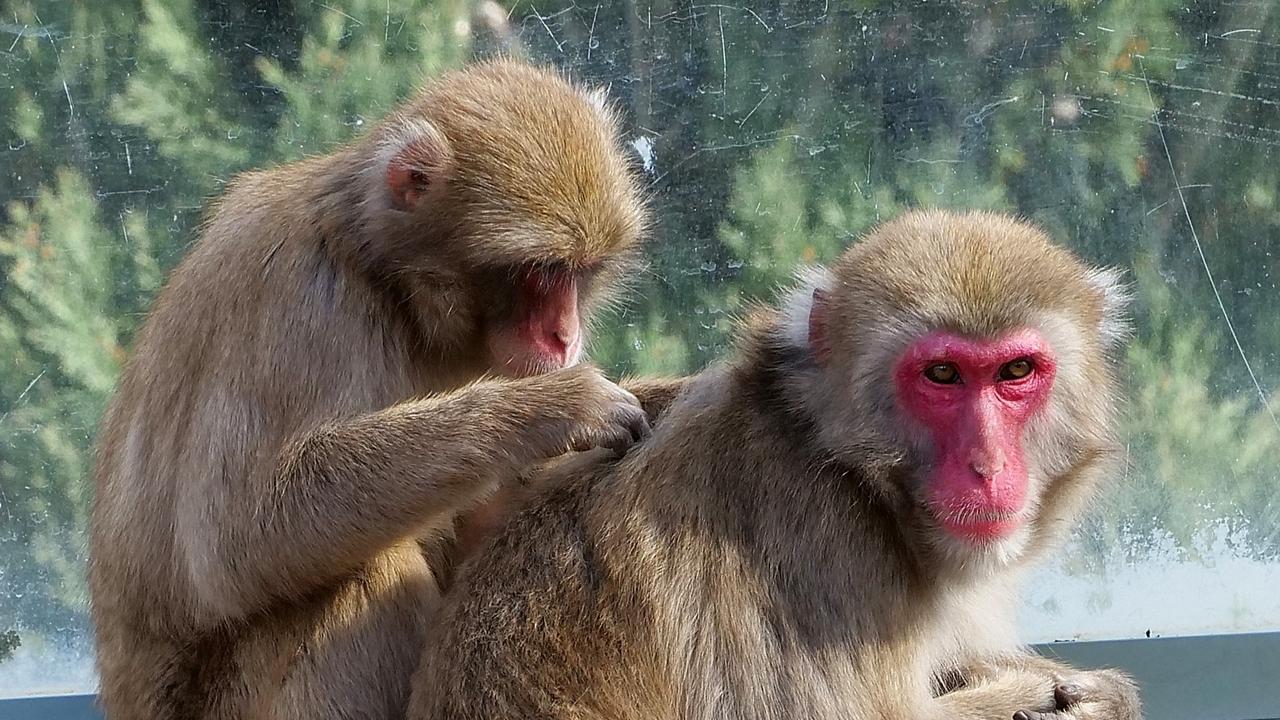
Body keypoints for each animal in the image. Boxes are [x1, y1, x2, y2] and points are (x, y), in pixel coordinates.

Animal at [86, 60, 691, 717]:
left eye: (581, 273)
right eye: (537, 273)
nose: (563, 335)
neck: (384, 279)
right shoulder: (301, 297)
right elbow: (234, 533)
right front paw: (556, 409)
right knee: (359, 572)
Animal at [407, 207, 1141, 717]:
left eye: (1015, 372)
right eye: (942, 375)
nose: (987, 466)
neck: (841, 465)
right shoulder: (829, 553)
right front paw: (1054, 692)